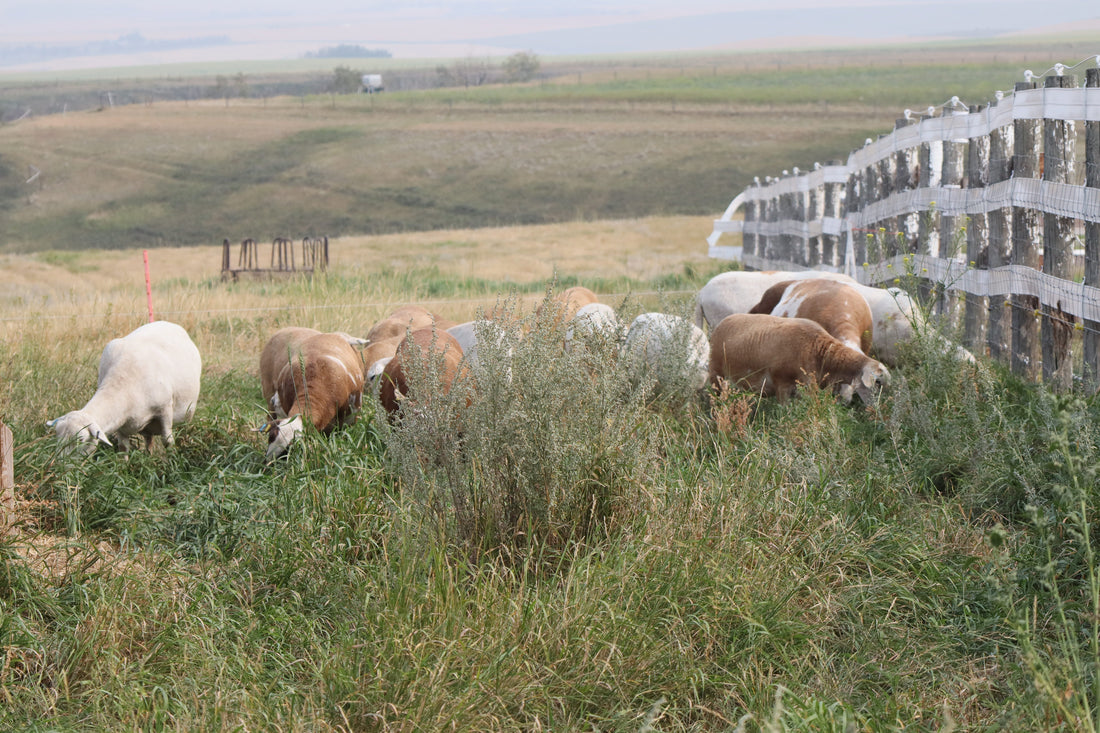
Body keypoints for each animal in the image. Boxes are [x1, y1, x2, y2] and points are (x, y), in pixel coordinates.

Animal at [47, 320, 202, 454]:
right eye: (57, 435)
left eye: (81, 440)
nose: (61, 465)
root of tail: (168, 323)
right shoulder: (121, 423)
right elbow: (123, 449)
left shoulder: (165, 410)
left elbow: (168, 442)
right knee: (149, 440)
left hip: (186, 412)